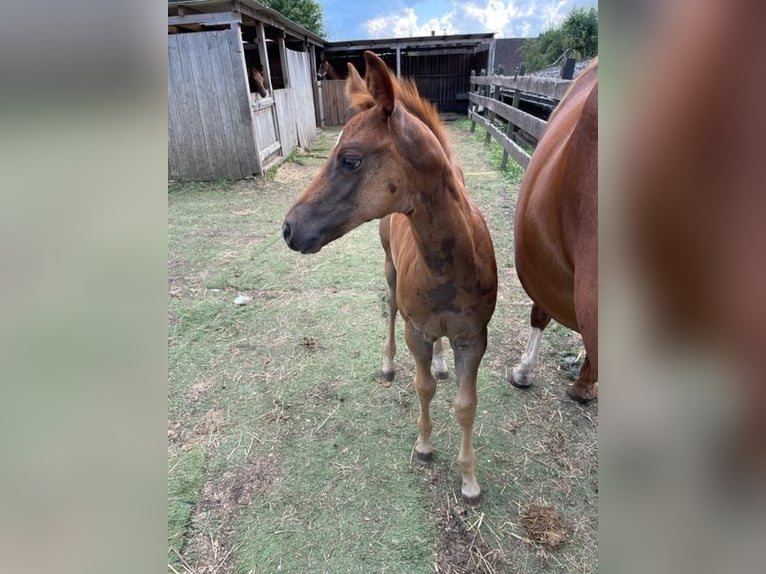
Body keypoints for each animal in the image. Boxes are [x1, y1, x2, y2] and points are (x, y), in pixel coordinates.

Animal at [282, 51, 498, 506]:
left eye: (350, 159)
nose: (289, 229)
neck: (451, 268)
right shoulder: (418, 330)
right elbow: (422, 387)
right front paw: (425, 446)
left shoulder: (473, 337)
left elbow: (465, 405)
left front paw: (469, 481)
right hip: (389, 269)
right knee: (392, 308)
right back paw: (387, 365)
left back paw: (440, 363)